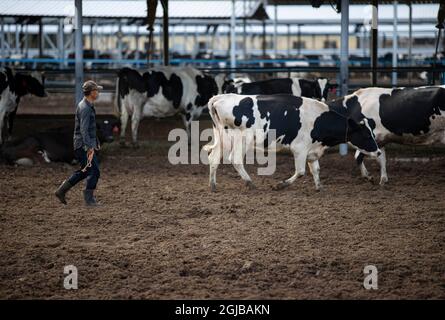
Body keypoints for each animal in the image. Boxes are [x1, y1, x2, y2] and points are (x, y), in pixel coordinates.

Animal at [203, 94, 380, 191]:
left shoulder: (312, 150)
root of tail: (219, 98)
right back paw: (250, 183)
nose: (378, 151)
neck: (318, 119)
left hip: (222, 137)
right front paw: (280, 185)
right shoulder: (300, 149)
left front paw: (320, 187)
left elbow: (316, 170)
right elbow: (301, 172)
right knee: (236, 159)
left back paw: (212, 185)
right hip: (242, 138)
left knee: (213, 158)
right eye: (366, 135)